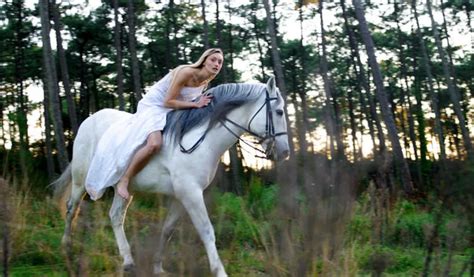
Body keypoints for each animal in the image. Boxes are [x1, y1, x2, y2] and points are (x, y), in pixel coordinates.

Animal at [51, 76, 288, 274]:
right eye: (279, 112)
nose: (284, 152)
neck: (200, 140)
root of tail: (88, 121)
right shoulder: (190, 193)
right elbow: (206, 230)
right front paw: (219, 271)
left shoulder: (180, 196)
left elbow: (167, 230)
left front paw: (158, 267)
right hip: (81, 181)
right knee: (72, 208)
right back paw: (66, 247)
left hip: (123, 187)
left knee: (116, 215)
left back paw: (128, 261)